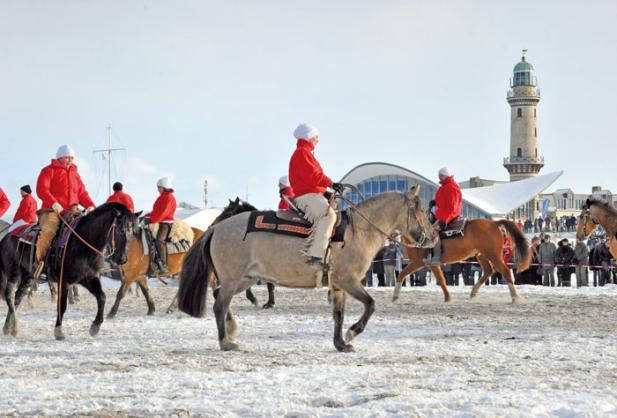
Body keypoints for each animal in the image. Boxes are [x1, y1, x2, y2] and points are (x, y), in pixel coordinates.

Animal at [0, 202, 137, 340]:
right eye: (120, 230)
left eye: (131, 232)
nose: (123, 259)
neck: (83, 243)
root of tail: (6, 237)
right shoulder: (64, 281)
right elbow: (62, 305)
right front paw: (59, 331)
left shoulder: (88, 278)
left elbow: (102, 297)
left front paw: (95, 326)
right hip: (14, 273)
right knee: (9, 295)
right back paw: (14, 327)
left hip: (28, 275)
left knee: (18, 296)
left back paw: (8, 326)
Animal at [176, 188, 436, 352]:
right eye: (420, 210)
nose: (433, 237)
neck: (357, 231)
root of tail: (216, 230)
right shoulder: (349, 280)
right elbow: (370, 304)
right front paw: (352, 333)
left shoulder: (338, 285)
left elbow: (339, 314)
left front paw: (341, 343)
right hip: (233, 279)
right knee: (220, 305)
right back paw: (226, 342)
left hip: (244, 279)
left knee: (218, 296)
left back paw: (231, 331)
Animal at [390, 219, 528, 304]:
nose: (390, 236)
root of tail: (494, 223)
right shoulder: (432, 265)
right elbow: (441, 279)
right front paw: (447, 297)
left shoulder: (418, 262)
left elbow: (401, 274)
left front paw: (395, 296)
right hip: (482, 255)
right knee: (488, 271)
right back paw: (473, 292)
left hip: (493, 255)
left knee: (505, 271)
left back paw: (515, 297)